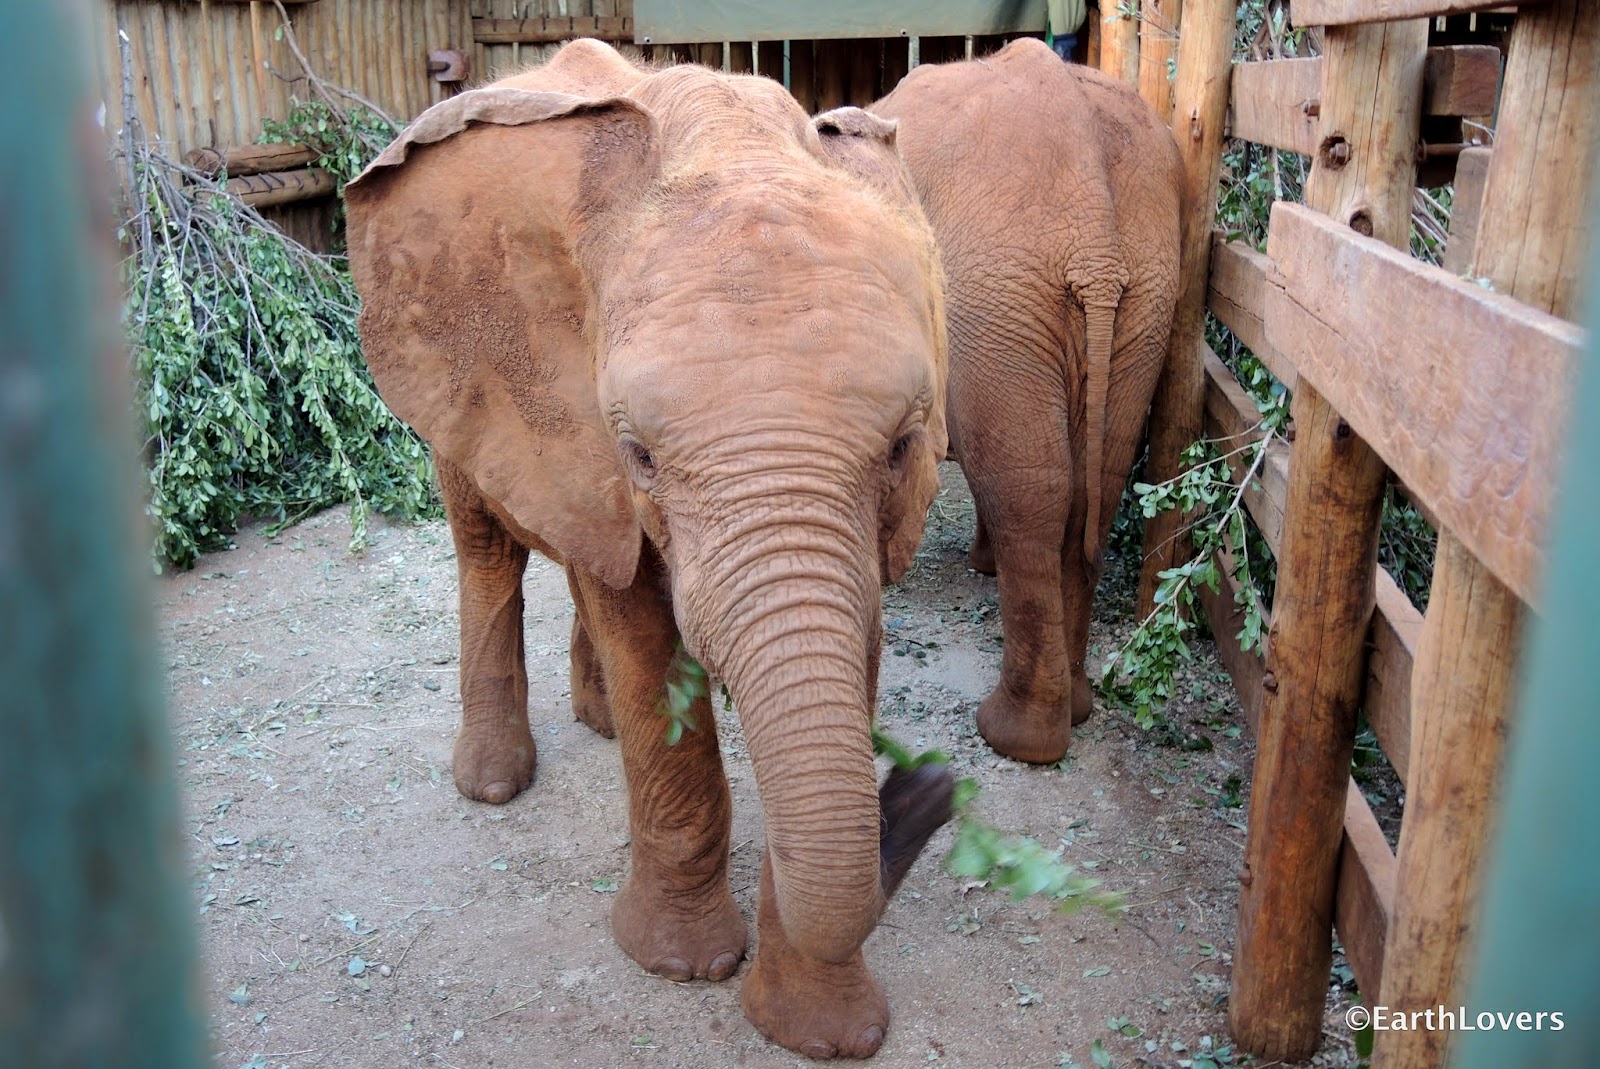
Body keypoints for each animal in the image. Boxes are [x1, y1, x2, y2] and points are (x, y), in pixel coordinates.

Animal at [344, 40, 957, 1060]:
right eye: (640, 454)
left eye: (904, 444)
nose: (928, 785)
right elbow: (640, 630)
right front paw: (678, 966)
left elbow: (854, 637)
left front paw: (819, 1032)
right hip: (450, 365)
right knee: (487, 545)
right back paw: (495, 782)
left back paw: (592, 721)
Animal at [869, 39, 1184, 764]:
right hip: (1142, 291)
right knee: (1091, 483)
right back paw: (1074, 709)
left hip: (994, 291)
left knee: (1029, 489)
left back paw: (1013, 739)